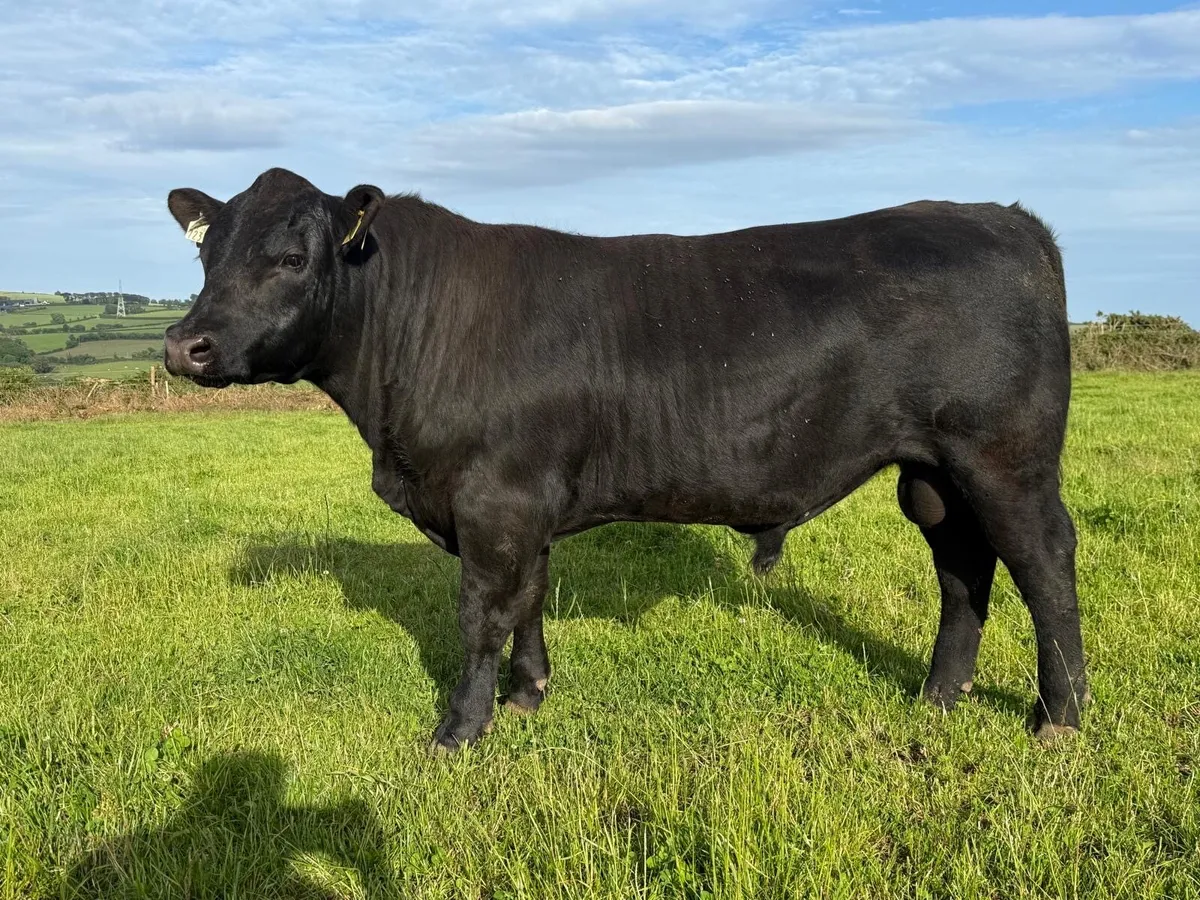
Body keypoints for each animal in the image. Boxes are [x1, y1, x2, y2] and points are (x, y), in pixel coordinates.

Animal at [163, 167, 1088, 751]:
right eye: (206, 254)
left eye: (291, 258)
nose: (185, 345)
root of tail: (1002, 216)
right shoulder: (524, 503)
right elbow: (529, 600)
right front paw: (528, 696)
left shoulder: (493, 500)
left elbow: (481, 615)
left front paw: (459, 730)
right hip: (933, 475)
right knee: (962, 568)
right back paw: (939, 695)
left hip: (1004, 457)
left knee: (1044, 564)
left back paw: (1061, 717)